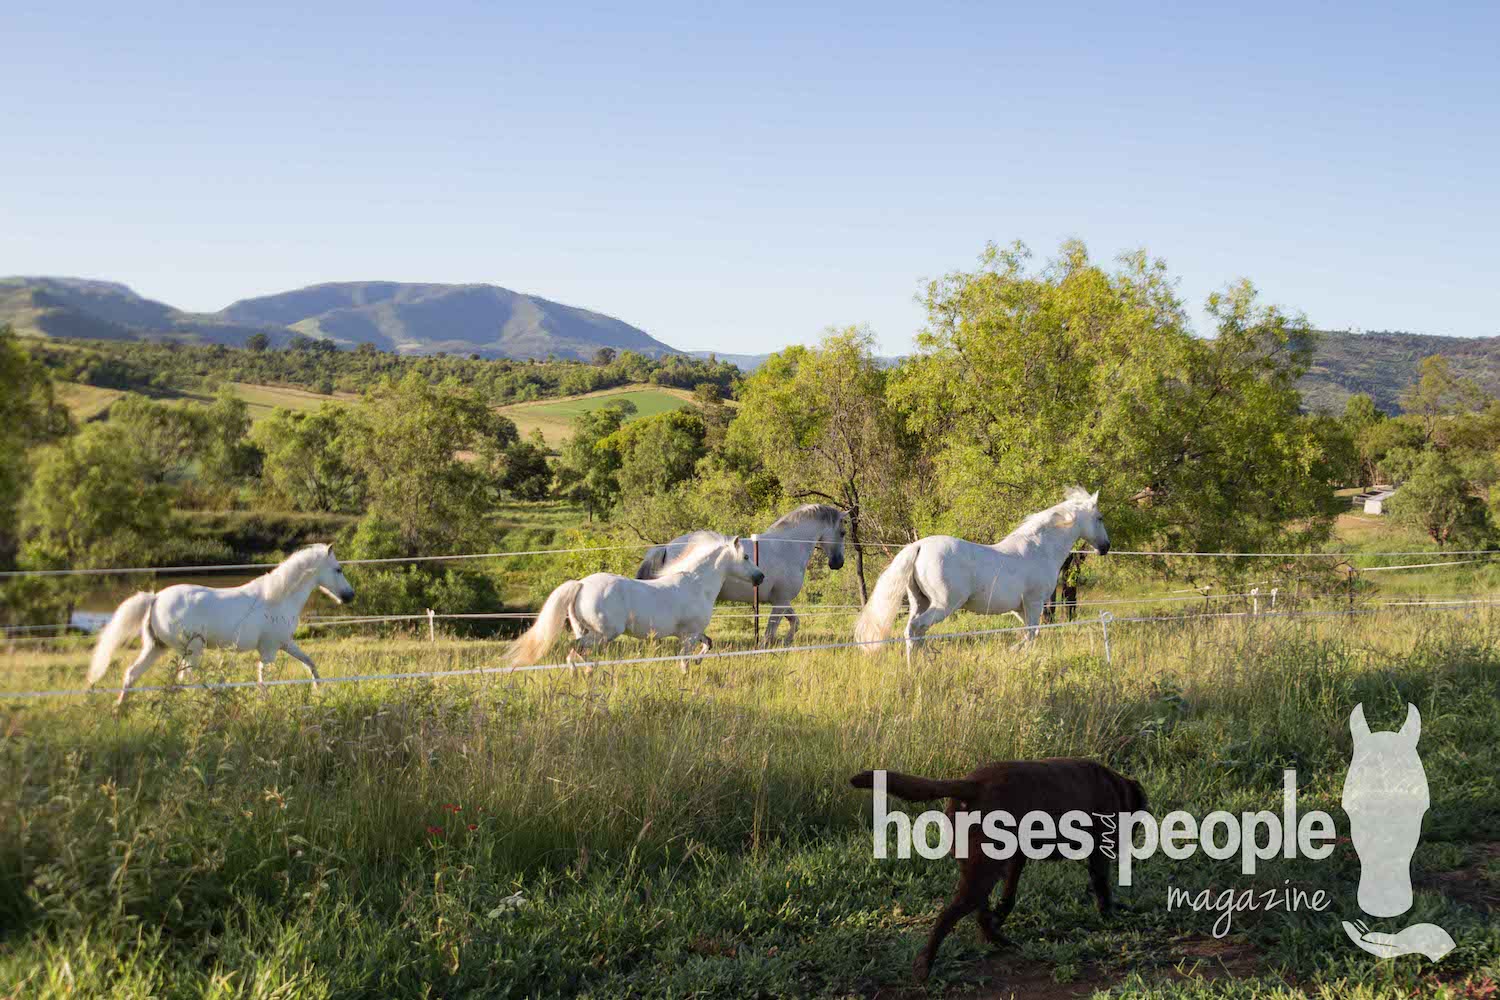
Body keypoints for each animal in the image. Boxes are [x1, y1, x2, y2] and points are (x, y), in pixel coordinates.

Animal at [87, 542, 354, 707]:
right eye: (338, 569)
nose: (350, 596)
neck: (278, 597)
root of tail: (155, 598)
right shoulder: (269, 650)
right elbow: (263, 678)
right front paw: (265, 703)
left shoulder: (285, 643)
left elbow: (310, 664)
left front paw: (319, 692)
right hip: (192, 649)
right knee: (188, 678)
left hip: (157, 648)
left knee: (133, 674)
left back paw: (120, 711)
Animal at [513, 536, 768, 677]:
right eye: (746, 557)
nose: (761, 577)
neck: (696, 584)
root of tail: (582, 584)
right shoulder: (689, 635)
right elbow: (684, 659)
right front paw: (687, 673)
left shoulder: (693, 633)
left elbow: (708, 644)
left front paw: (698, 661)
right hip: (604, 633)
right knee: (574, 650)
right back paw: (582, 673)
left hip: (584, 630)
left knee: (578, 652)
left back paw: (587, 673)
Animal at [630, 503, 846, 644]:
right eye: (843, 533)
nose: (838, 563)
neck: (787, 546)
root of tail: (667, 546)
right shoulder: (780, 601)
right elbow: (770, 632)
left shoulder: (782, 602)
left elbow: (795, 622)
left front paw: (787, 642)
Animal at [852, 485, 1110, 665]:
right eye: (1099, 518)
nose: (1106, 547)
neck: (1039, 549)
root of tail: (919, 546)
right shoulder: (1034, 602)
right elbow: (1031, 634)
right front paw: (1019, 654)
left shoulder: (1020, 609)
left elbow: (1030, 633)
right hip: (943, 605)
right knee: (916, 629)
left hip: (919, 601)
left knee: (913, 631)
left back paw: (917, 664)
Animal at [852, 758, 1140, 983]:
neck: (1115, 787)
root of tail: (972, 785)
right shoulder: (1099, 852)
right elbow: (1102, 886)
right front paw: (1110, 914)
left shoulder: (1016, 859)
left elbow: (1008, 897)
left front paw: (999, 917)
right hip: (981, 874)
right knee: (948, 916)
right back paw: (926, 964)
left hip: (980, 868)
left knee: (978, 911)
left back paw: (995, 937)